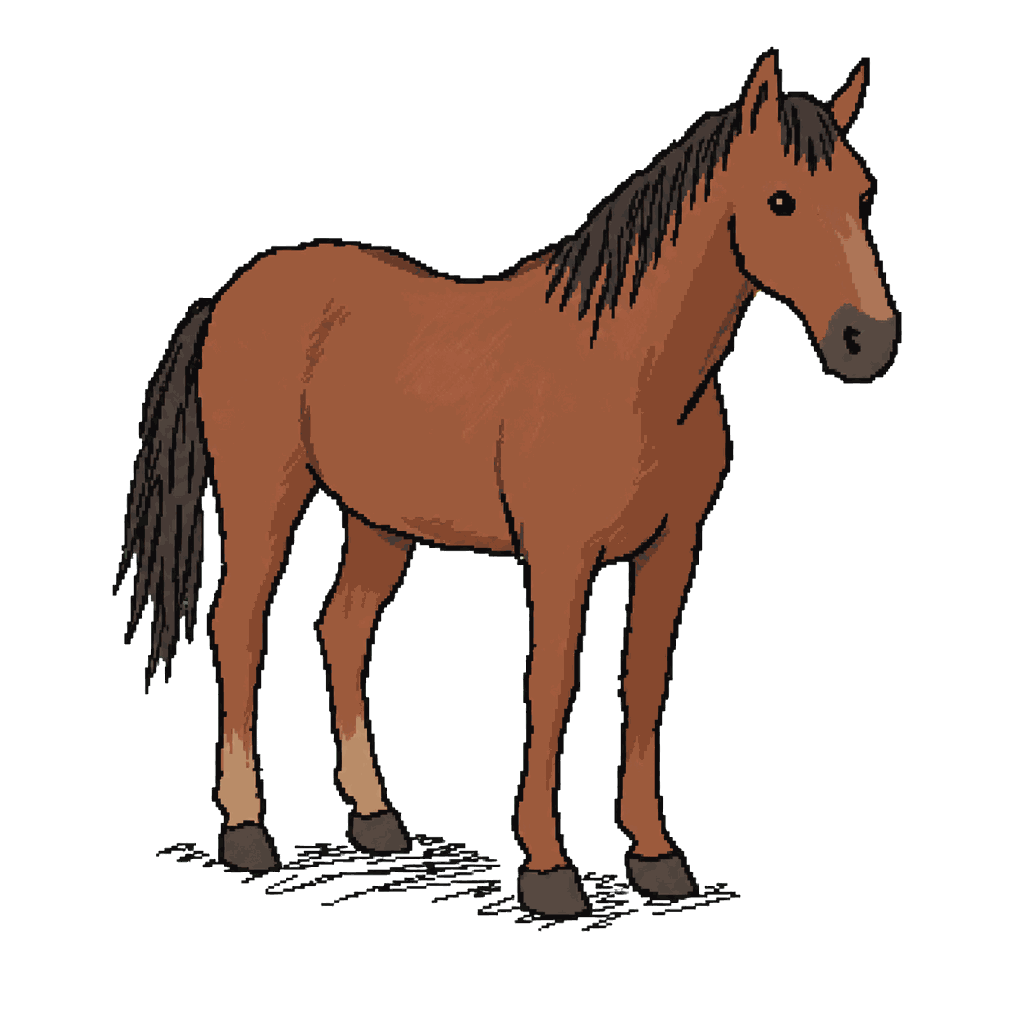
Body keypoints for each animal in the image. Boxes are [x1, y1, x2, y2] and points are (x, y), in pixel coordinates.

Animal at [117, 50, 899, 917]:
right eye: (781, 200)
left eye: (862, 195)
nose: (866, 339)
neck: (631, 370)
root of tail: (233, 293)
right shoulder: (560, 556)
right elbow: (551, 687)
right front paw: (548, 870)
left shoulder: (671, 551)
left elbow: (644, 688)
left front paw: (655, 858)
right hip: (265, 498)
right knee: (239, 625)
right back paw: (248, 829)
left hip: (379, 520)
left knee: (342, 628)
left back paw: (376, 818)